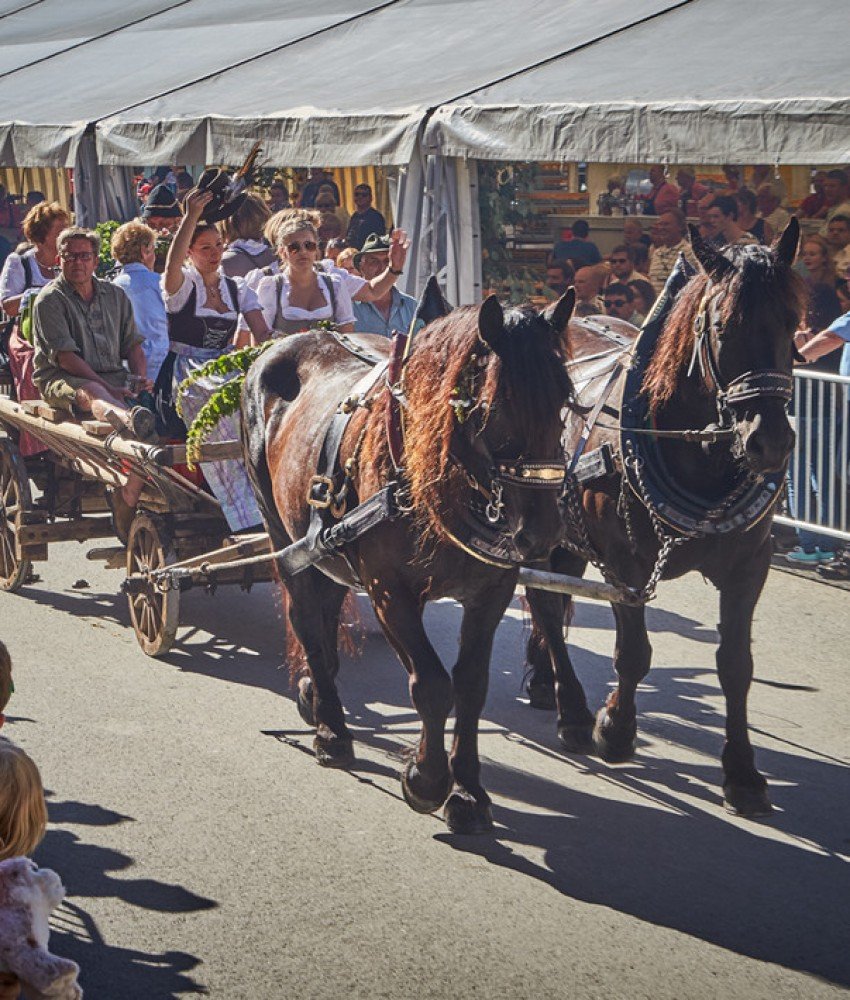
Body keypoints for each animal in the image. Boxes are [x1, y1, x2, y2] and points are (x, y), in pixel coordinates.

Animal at [242, 292, 580, 836]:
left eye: (565, 399)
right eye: (497, 405)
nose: (545, 531)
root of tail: (285, 342)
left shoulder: (492, 591)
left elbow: (470, 685)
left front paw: (467, 792)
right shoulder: (389, 590)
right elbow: (432, 684)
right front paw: (427, 778)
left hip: (326, 544)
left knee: (328, 609)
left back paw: (317, 691)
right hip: (281, 533)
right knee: (307, 618)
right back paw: (332, 731)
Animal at [524, 223, 800, 816]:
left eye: (793, 322)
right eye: (723, 326)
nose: (770, 442)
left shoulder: (750, 564)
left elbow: (735, 666)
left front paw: (743, 774)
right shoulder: (624, 562)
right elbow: (633, 653)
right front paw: (615, 727)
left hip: (567, 536)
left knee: (553, 595)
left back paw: (541, 679)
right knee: (543, 601)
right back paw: (572, 709)